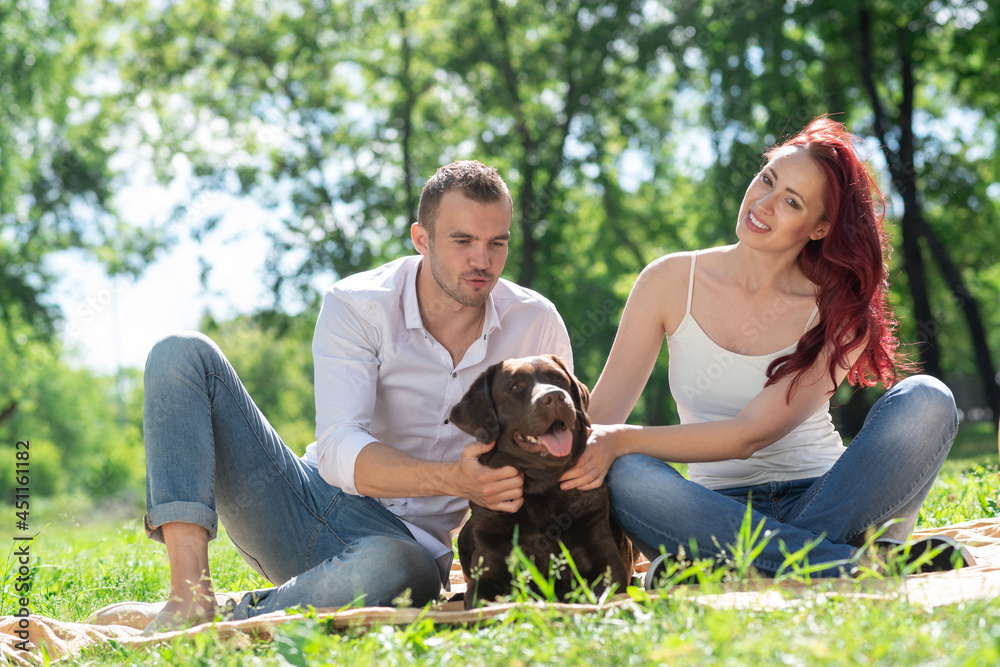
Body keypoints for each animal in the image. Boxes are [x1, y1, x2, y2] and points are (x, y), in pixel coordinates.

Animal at [452, 354, 636, 612]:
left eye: (559, 379)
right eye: (515, 387)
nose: (556, 397)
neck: (541, 489)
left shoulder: (606, 564)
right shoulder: (488, 574)